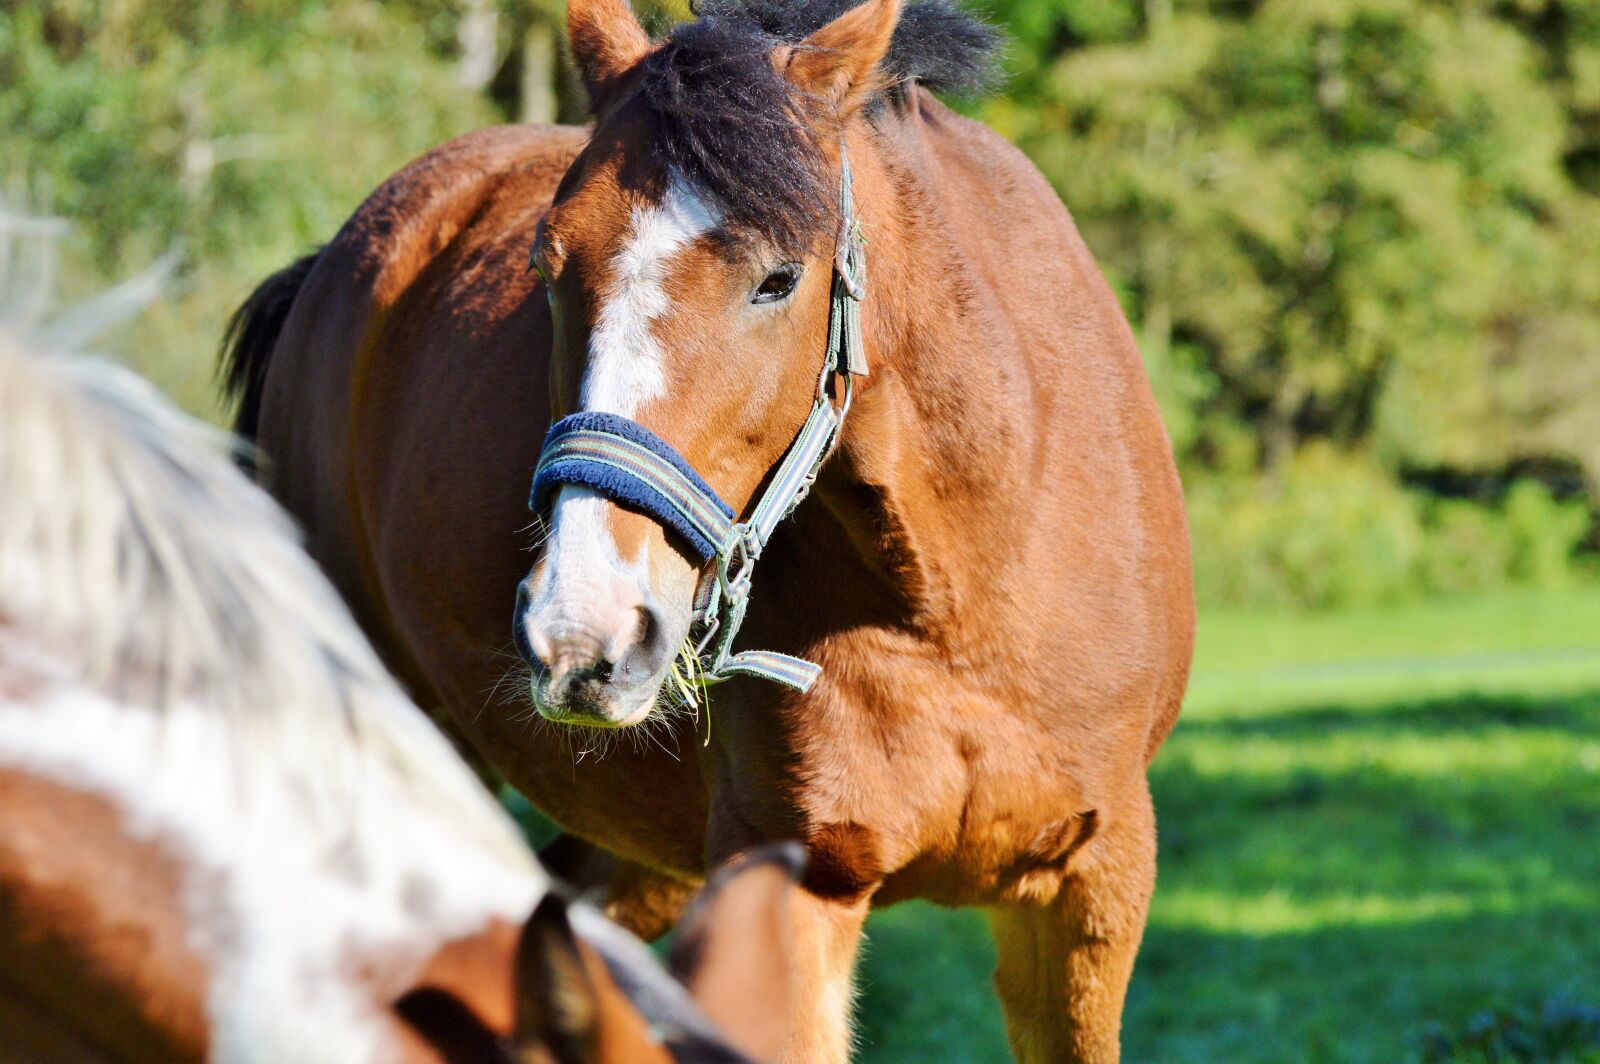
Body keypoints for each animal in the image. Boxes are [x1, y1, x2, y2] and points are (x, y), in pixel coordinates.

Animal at [221, 0, 1195, 1058]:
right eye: (549, 266)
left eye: (778, 278)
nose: (583, 632)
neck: (961, 598)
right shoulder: (795, 889)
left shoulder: (1091, 896)